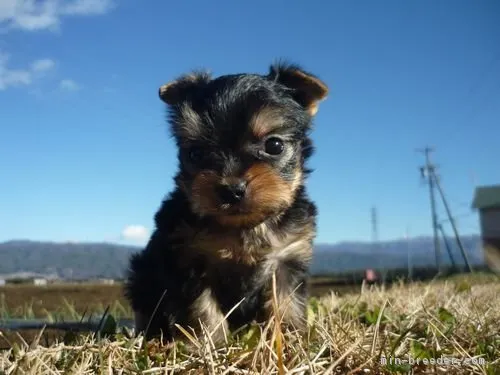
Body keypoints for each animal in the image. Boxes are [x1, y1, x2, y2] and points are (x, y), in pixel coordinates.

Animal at [124, 61, 328, 344]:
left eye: (274, 145)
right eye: (195, 153)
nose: (232, 189)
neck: (246, 226)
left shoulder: (288, 256)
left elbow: (286, 302)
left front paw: (289, 339)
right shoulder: (189, 259)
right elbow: (202, 307)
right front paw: (212, 343)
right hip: (143, 274)